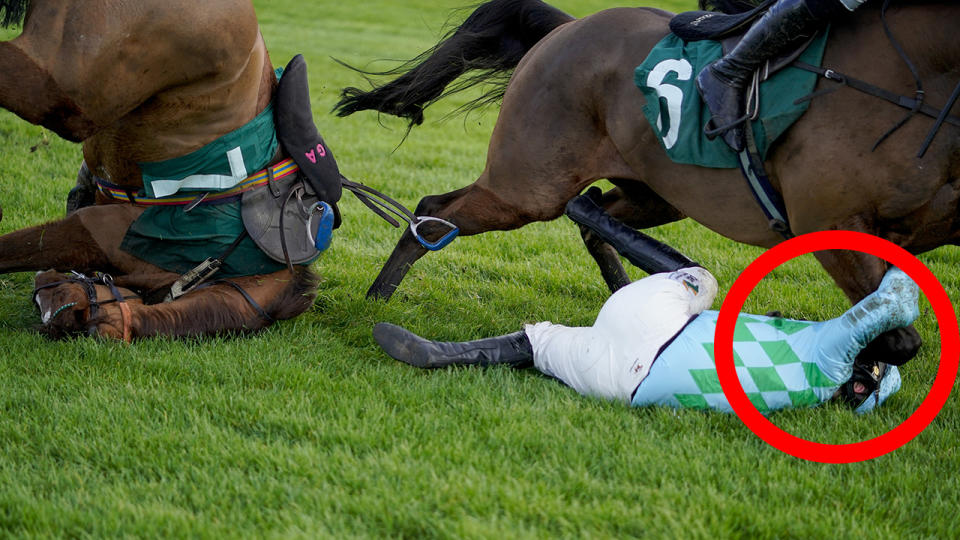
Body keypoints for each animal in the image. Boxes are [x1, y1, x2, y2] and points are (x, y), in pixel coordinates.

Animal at [336, 0, 960, 368]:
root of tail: (568, 27)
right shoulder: (829, 224)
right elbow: (897, 337)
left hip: (655, 191)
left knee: (591, 214)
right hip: (526, 188)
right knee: (435, 209)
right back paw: (376, 299)